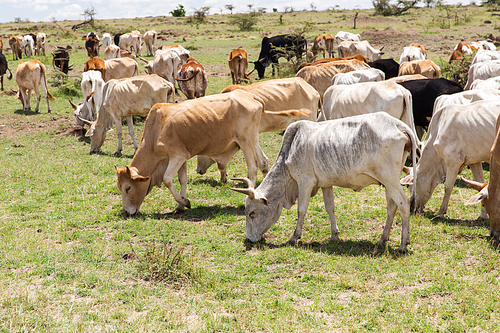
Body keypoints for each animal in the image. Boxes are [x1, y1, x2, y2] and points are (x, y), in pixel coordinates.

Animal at [115, 89, 272, 214]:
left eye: (128, 188)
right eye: (119, 188)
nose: (125, 212)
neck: (156, 130)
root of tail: (251, 96)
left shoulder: (177, 156)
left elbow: (167, 179)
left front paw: (185, 202)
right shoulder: (181, 158)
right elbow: (182, 179)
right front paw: (180, 206)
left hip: (246, 142)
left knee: (252, 168)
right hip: (253, 140)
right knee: (263, 162)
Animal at [233, 111, 418, 252]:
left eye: (252, 213)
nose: (249, 239)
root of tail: (397, 124)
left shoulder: (305, 182)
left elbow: (301, 210)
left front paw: (294, 237)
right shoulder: (326, 184)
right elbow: (330, 208)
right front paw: (334, 234)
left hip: (390, 179)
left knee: (404, 203)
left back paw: (403, 244)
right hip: (388, 182)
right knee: (391, 206)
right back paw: (382, 239)